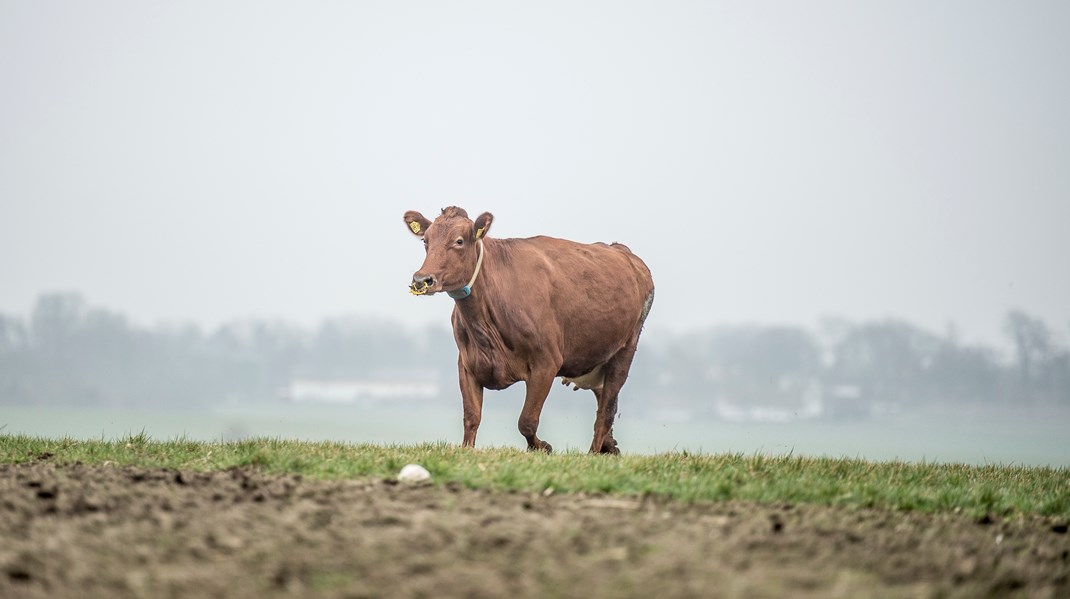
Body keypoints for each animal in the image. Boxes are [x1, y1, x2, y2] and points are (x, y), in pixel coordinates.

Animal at [402, 207, 650, 453]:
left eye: (459, 241)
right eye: (425, 240)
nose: (422, 279)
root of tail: (622, 251)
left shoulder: (547, 361)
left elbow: (527, 421)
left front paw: (543, 447)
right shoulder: (467, 364)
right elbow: (472, 417)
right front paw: (467, 450)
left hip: (625, 350)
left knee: (605, 412)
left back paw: (593, 453)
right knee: (604, 400)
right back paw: (610, 445)